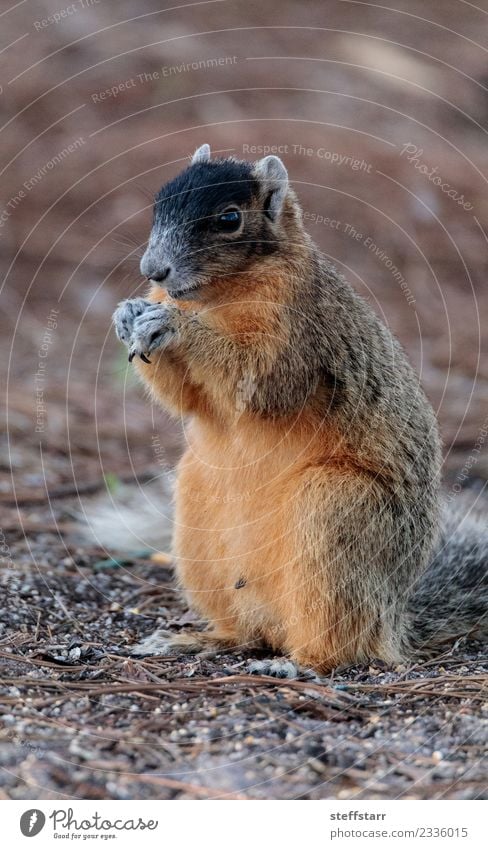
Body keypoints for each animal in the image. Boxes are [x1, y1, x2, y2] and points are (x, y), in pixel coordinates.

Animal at [111, 146, 488, 676]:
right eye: (158, 204)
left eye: (229, 219)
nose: (153, 271)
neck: (221, 293)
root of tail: (394, 619)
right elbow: (186, 398)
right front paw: (127, 315)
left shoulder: (298, 334)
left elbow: (257, 378)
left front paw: (174, 326)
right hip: (197, 524)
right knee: (249, 632)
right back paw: (197, 639)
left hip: (334, 514)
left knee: (341, 643)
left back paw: (297, 665)